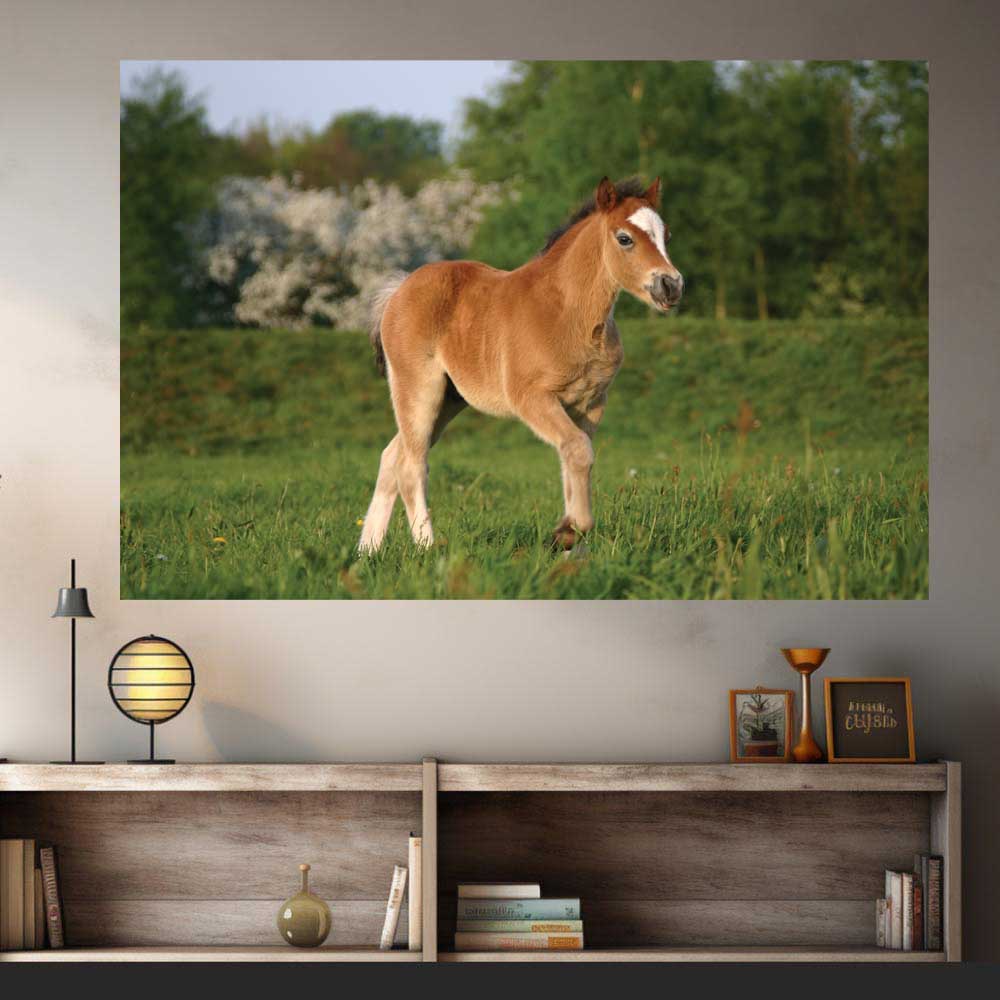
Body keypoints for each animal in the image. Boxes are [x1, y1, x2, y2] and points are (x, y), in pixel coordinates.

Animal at [358, 176, 683, 553]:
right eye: (625, 238)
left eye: (666, 235)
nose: (671, 285)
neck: (567, 313)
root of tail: (399, 289)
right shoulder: (532, 398)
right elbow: (578, 450)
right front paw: (570, 532)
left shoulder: (590, 404)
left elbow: (576, 458)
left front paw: (571, 542)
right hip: (419, 389)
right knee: (412, 465)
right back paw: (427, 546)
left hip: (449, 400)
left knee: (392, 456)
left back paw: (367, 550)